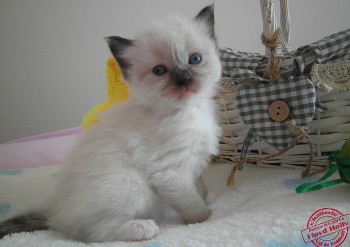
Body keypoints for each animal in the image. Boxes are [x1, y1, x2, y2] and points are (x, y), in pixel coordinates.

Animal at [0, 4, 221, 242]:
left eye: (195, 59)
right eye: (159, 71)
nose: (184, 80)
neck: (190, 111)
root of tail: (55, 214)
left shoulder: (194, 164)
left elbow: (199, 186)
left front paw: (208, 197)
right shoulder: (170, 172)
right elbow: (191, 202)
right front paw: (206, 217)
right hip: (132, 185)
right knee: (94, 233)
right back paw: (142, 228)